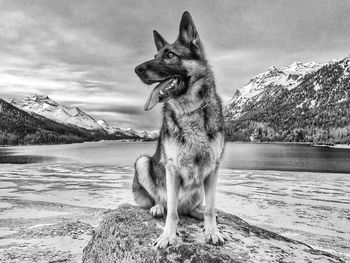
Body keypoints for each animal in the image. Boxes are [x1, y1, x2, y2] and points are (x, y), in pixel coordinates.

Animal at [133, 10, 226, 250]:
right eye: (155, 55)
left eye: (169, 55)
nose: (137, 69)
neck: (190, 110)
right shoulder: (172, 170)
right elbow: (172, 213)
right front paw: (168, 236)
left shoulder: (213, 170)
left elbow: (210, 208)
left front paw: (212, 231)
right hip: (142, 162)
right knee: (164, 202)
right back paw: (157, 207)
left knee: (192, 208)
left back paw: (198, 212)